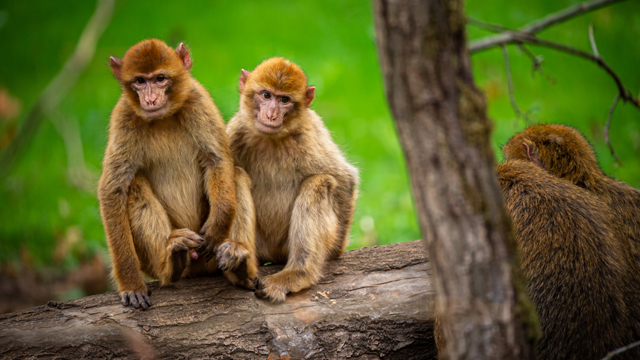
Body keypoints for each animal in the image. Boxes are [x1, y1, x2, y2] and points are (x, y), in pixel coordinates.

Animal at [99, 39, 256, 310]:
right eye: (140, 81)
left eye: (160, 78)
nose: (150, 99)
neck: (162, 118)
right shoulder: (124, 117)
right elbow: (113, 190)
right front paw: (131, 282)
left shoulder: (197, 100)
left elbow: (218, 161)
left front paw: (217, 227)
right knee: (135, 186)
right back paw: (172, 263)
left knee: (235, 175)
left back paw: (240, 266)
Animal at [225, 57, 358, 302]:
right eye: (266, 95)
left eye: (284, 100)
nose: (271, 115)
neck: (272, 139)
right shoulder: (235, 131)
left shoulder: (310, 133)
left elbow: (345, 180)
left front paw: (335, 251)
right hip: (260, 246)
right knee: (235, 174)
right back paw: (241, 264)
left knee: (319, 182)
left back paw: (298, 273)